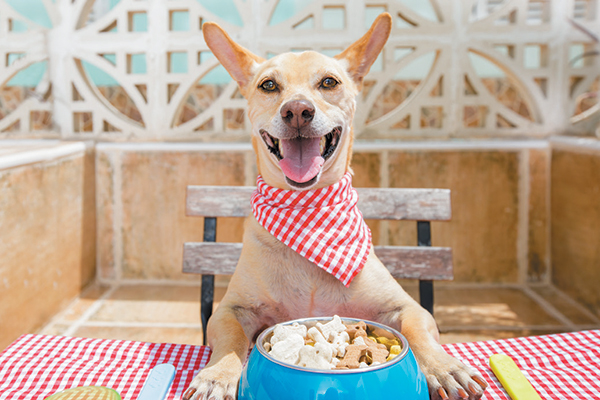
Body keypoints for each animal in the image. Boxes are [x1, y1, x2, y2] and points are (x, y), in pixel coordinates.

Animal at [183, 12, 488, 400]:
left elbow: (418, 332)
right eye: (269, 85)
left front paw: (443, 367)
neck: (308, 210)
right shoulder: (228, 311)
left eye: (329, 82)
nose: (298, 110)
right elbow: (232, 340)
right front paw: (218, 374)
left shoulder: (408, 307)